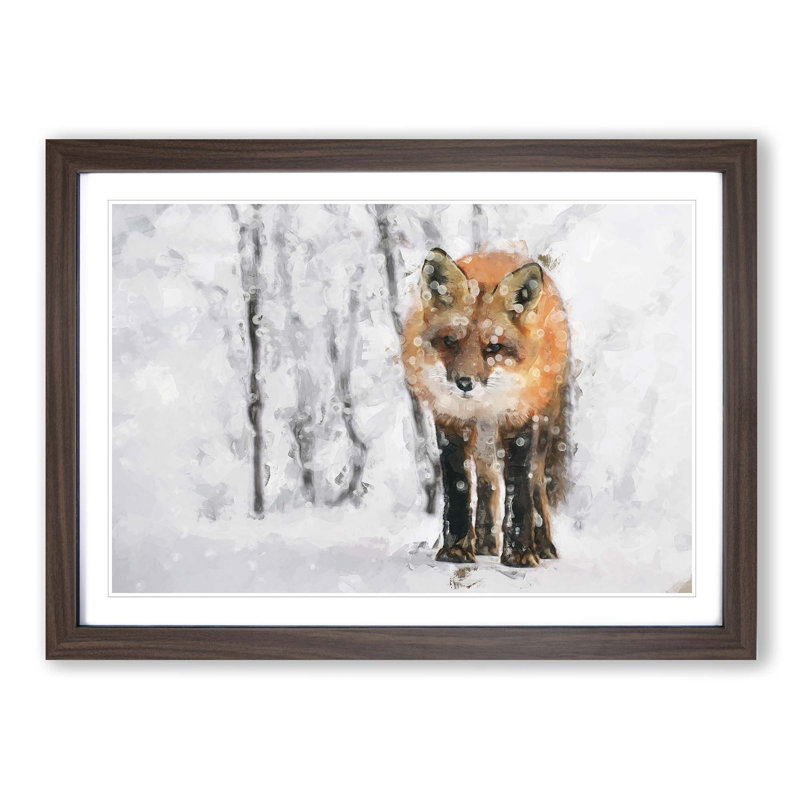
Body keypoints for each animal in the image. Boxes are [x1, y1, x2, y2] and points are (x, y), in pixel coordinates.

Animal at [402, 248, 572, 567]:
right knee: (486, 484)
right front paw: (456, 548)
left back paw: (543, 545)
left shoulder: (519, 419)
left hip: (543, 427)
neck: (482, 408)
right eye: (450, 341)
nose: (464, 383)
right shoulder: (449, 422)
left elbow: (518, 489)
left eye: (493, 347)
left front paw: (520, 552)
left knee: (536, 484)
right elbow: (459, 489)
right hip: (482, 445)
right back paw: (484, 543)